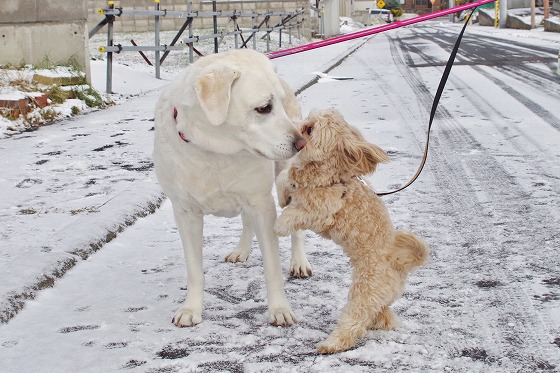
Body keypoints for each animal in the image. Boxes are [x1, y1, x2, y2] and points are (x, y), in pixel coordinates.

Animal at [153, 48, 310, 326]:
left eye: (279, 104)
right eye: (264, 108)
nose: (301, 142)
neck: (216, 152)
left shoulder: (262, 205)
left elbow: (272, 268)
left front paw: (279, 309)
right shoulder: (185, 213)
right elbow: (195, 270)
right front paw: (191, 309)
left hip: (287, 176)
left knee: (296, 228)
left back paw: (299, 261)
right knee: (246, 221)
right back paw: (241, 250)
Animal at [274, 109, 428, 354]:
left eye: (310, 130)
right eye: (307, 119)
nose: (293, 127)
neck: (330, 175)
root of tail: (397, 264)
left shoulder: (322, 210)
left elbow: (294, 213)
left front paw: (280, 225)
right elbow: (284, 178)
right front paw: (283, 197)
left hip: (366, 291)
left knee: (355, 321)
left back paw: (332, 343)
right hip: (380, 297)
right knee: (381, 313)